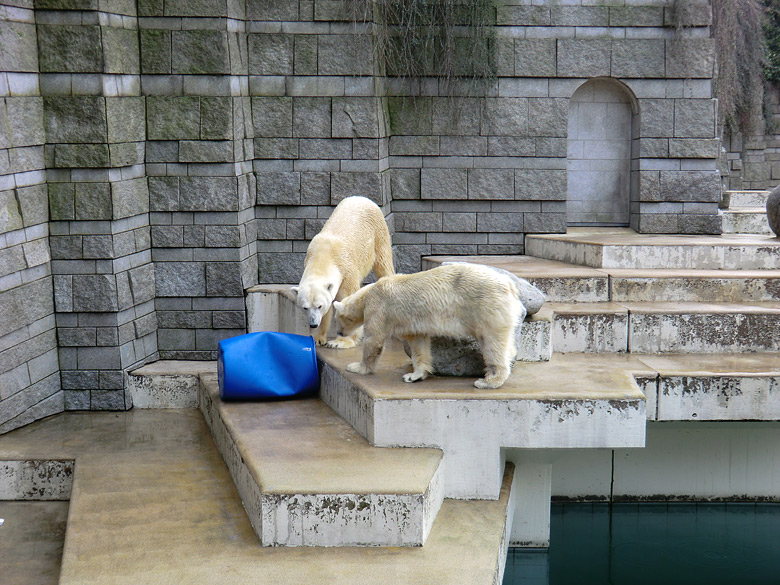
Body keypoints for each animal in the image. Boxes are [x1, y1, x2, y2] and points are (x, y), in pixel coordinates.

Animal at [290, 196, 394, 346]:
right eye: (305, 307)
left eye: (319, 306)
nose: (313, 324)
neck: (323, 256)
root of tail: (361, 198)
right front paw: (317, 338)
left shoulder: (346, 271)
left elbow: (348, 299)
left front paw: (341, 342)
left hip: (378, 233)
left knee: (383, 264)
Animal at [332, 264, 520, 388]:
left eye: (337, 319)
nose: (339, 333)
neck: (367, 293)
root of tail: (510, 285)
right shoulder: (413, 325)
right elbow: (418, 344)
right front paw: (413, 375)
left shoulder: (379, 308)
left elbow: (374, 339)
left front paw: (357, 367)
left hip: (486, 306)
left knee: (492, 342)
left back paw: (489, 381)